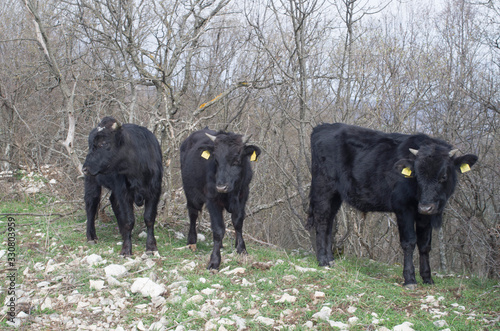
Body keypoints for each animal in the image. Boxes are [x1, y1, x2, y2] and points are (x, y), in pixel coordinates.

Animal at [82, 117, 162, 256]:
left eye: (103, 143)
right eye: (91, 144)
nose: (85, 168)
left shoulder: (155, 191)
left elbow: (149, 218)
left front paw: (151, 247)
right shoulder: (124, 193)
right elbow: (128, 220)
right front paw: (126, 249)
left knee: (113, 201)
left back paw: (122, 233)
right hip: (92, 182)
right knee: (91, 204)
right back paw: (91, 236)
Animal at [181, 128, 262, 272]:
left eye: (236, 160)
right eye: (216, 161)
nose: (221, 186)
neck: (231, 193)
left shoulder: (243, 196)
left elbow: (238, 222)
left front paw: (241, 249)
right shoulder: (212, 201)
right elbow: (218, 230)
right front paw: (214, 261)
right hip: (191, 193)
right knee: (193, 214)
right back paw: (192, 242)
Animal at [308, 123, 476, 290]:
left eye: (444, 176)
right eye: (417, 175)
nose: (425, 206)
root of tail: (322, 127)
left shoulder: (425, 215)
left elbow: (425, 245)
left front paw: (428, 278)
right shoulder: (403, 208)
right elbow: (409, 242)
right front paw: (410, 279)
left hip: (336, 194)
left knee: (329, 220)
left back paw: (330, 260)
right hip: (324, 186)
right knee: (322, 219)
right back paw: (322, 261)